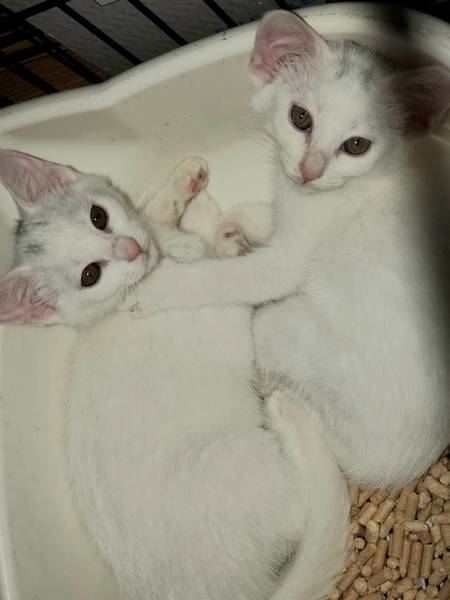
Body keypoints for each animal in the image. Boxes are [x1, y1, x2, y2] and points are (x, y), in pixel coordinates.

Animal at [0, 150, 349, 600]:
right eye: (90, 275)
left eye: (99, 216)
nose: (131, 249)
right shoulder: (219, 317)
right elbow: (222, 276)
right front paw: (222, 236)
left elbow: (153, 213)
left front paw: (186, 190)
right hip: (240, 459)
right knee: (302, 508)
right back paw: (289, 417)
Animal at [130, 10, 450, 491]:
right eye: (300, 118)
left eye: (357, 145)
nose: (309, 169)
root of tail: (394, 469)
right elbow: (264, 215)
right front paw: (231, 230)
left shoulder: (285, 264)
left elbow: (226, 277)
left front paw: (155, 287)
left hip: (281, 330)